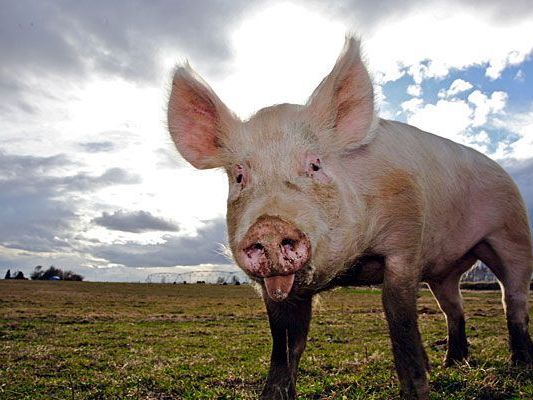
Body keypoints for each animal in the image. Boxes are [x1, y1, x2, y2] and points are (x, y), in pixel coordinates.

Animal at [166, 36, 532, 398]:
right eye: (239, 175)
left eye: (315, 165)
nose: (268, 226)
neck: (351, 266)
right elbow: (285, 343)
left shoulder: (405, 244)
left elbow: (401, 324)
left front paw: (416, 389)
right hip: (445, 272)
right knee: (453, 306)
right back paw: (452, 364)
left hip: (511, 233)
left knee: (512, 299)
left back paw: (519, 365)